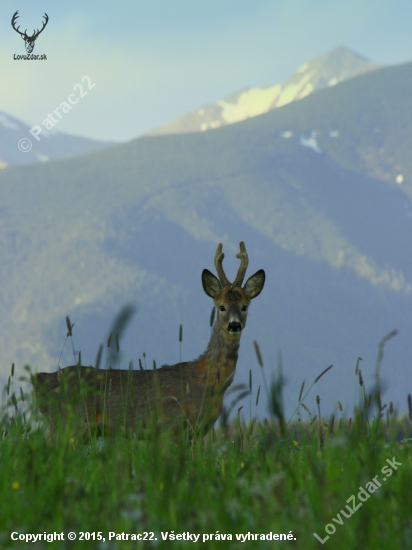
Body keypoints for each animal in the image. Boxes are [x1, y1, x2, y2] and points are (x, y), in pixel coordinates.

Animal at [33, 243, 266, 440]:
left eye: (245, 306)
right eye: (221, 306)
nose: (234, 325)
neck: (205, 380)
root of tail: (39, 381)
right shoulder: (171, 426)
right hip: (67, 423)